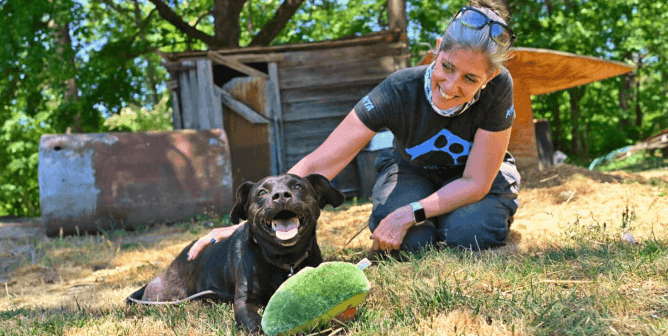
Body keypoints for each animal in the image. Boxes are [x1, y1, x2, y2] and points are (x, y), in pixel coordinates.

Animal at [127, 175, 344, 332]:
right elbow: (256, 323)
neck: (283, 259)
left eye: (298, 187)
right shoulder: (243, 302)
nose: (281, 195)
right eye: (262, 192)